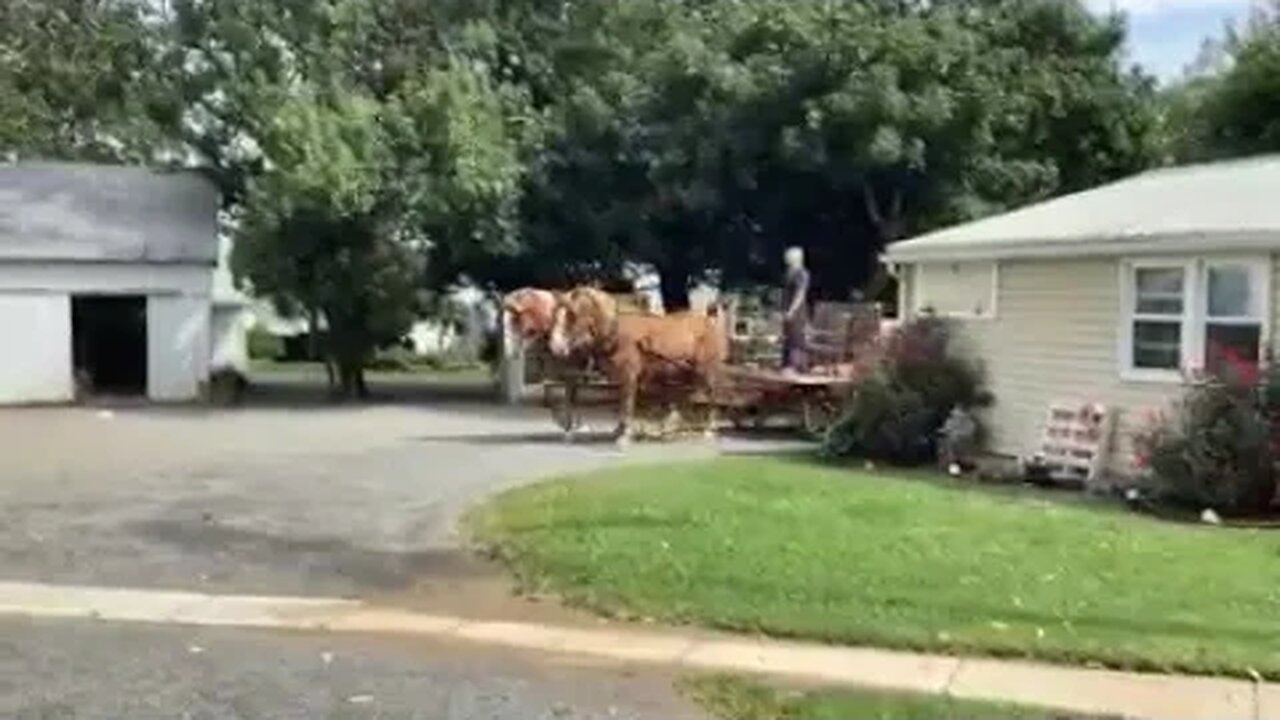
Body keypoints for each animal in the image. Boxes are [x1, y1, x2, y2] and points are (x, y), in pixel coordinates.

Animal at [547, 284, 732, 443]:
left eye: (571, 315)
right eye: (556, 315)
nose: (556, 347)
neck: (615, 332)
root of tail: (710, 319)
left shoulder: (629, 375)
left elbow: (627, 402)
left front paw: (625, 435)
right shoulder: (620, 377)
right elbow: (621, 401)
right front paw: (619, 430)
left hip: (707, 368)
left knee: (713, 394)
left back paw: (709, 429)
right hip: (686, 370)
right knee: (687, 395)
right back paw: (670, 426)